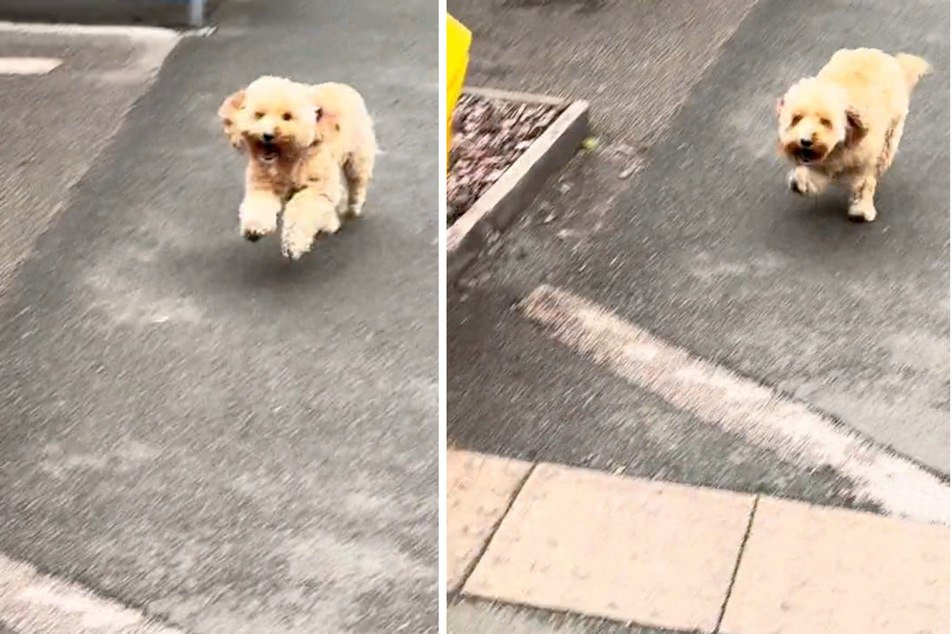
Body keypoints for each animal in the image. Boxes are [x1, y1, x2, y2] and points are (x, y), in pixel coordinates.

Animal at [218, 75, 378, 258]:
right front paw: (254, 228)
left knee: (356, 183)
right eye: (259, 115)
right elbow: (258, 204)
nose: (267, 135)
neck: (287, 159)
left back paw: (353, 206)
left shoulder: (315, 187)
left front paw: (294, 244)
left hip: (357, 159)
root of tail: (343, 87)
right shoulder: (264, 184)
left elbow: (301, 211)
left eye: (287, 116)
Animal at [780, 47, 928, 220]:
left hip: (891, 135)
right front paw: (801, 181)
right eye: (797, 118)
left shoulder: (868, 159)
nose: (805, 141)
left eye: (826, 121)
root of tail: (879, 54)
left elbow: (865, 182)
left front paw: (862, 208)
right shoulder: (820, 161)